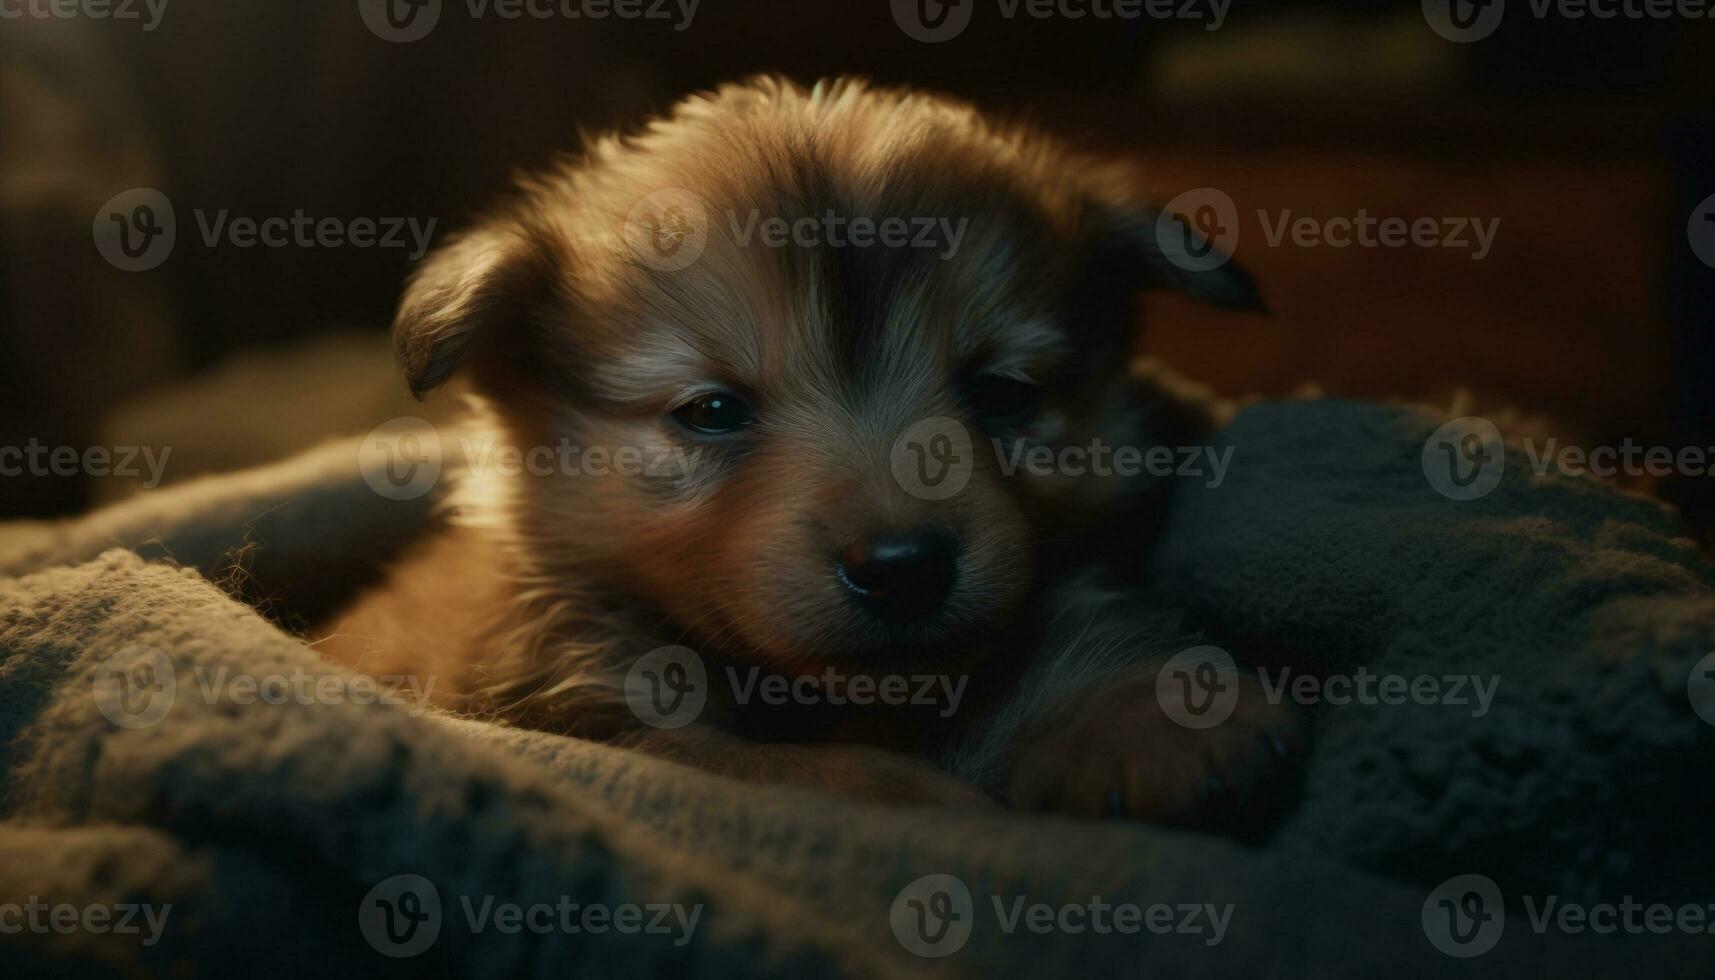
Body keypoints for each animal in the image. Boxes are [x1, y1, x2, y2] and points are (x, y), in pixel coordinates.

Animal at [315, 74, 1296, 827]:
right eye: (711, 410)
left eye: (1001, 393)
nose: (903, 568)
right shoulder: (590, 699)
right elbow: (739, 764)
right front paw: (906, 792)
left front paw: (1149, 719)